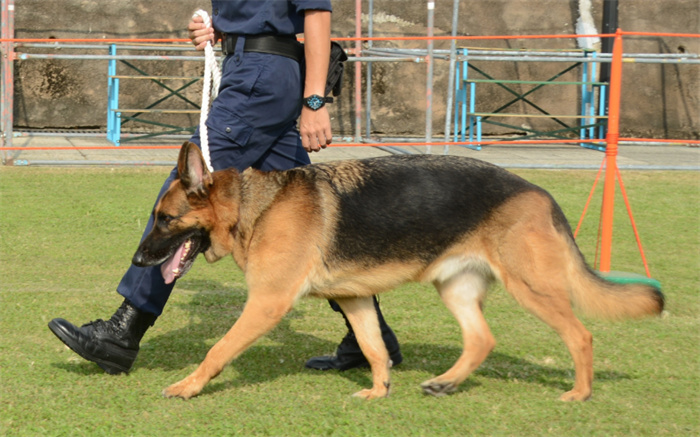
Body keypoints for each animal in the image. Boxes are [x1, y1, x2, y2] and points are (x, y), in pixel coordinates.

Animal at [131, 141, 660, 400]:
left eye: (165, 219)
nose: (137, 262)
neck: (253, 208)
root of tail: (540, 194)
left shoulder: (267, 303)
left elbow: (218, 349)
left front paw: (188, 387)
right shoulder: (354, 299)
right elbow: (373, 347)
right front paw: (379, 391)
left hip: (531, 288)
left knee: (580, 335)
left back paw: (580, 393)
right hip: (456, 288)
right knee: (481, 339)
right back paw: (446, 382)